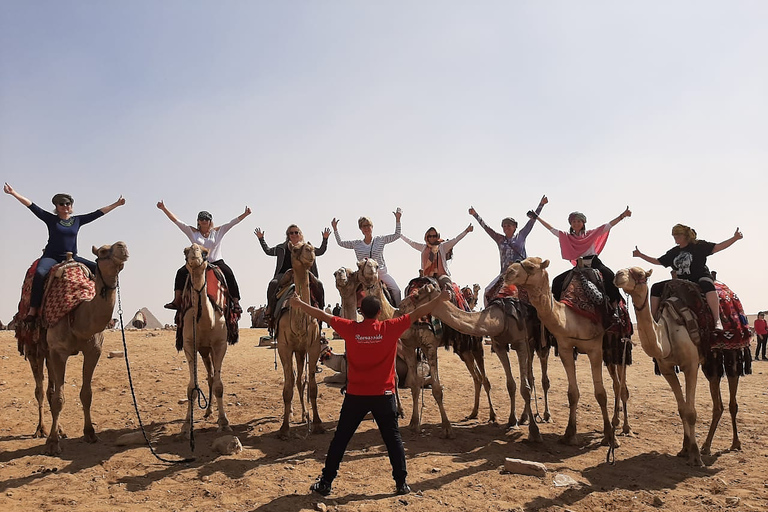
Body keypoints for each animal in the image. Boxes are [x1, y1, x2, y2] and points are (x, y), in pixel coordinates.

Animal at [39, 242, 130, 454]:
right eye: (103, 250)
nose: (123, 246)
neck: (78, 313)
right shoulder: (58, 351)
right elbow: (59, 399)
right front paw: (53, 443)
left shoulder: (93, 350)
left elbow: (86, 394)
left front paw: (90, 433)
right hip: (35, 349)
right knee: (40, 390)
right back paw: (42, 430)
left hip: (48, 353)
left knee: (50, 389)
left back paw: (59, 430)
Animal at [179, 244, 231, 436]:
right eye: (185, 251)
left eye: (205, 252)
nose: (194, 254)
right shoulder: (189, 344)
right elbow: (191, 388)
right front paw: (186, 424)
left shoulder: (220, 345)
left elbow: (219, 385)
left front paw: (224, 422)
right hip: (203, 350)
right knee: (209, 376)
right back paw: (208, 410)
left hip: (209, 349)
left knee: (212, 378)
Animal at [504, 256, 616, 448]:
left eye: (531, 267)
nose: (508, 272)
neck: (571, 319)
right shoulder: (565, 348)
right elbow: (572, 393)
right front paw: (569, 434)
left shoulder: (594, 349)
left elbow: (601, 394)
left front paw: (609, 437)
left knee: (619, 385)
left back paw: (621, 427)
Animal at [612, 268, 744, 464]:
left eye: (640, 274)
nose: (618, 275)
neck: (667, 332)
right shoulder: (667, 369)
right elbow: (682, 409)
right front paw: (685, 449)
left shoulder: (691, 366)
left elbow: (691, 412)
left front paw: (695, 457)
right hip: (710, 361)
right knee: (717, 403)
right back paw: (706, 446)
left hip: (731, 351)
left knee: (732, 398)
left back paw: (735, 444)